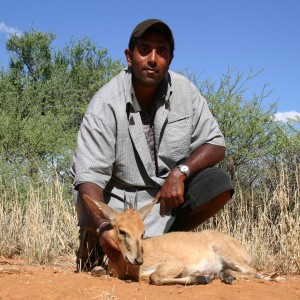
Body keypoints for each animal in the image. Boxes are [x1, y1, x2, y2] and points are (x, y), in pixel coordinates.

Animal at [81, 195, 258, 286]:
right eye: (122, 231)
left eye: (142, 232)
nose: (138, 260)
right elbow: (96, 270)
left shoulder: (175, 265)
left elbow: (154, 277)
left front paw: (203, 278)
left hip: (228, 255)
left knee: (254, 272)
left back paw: (224, 276)